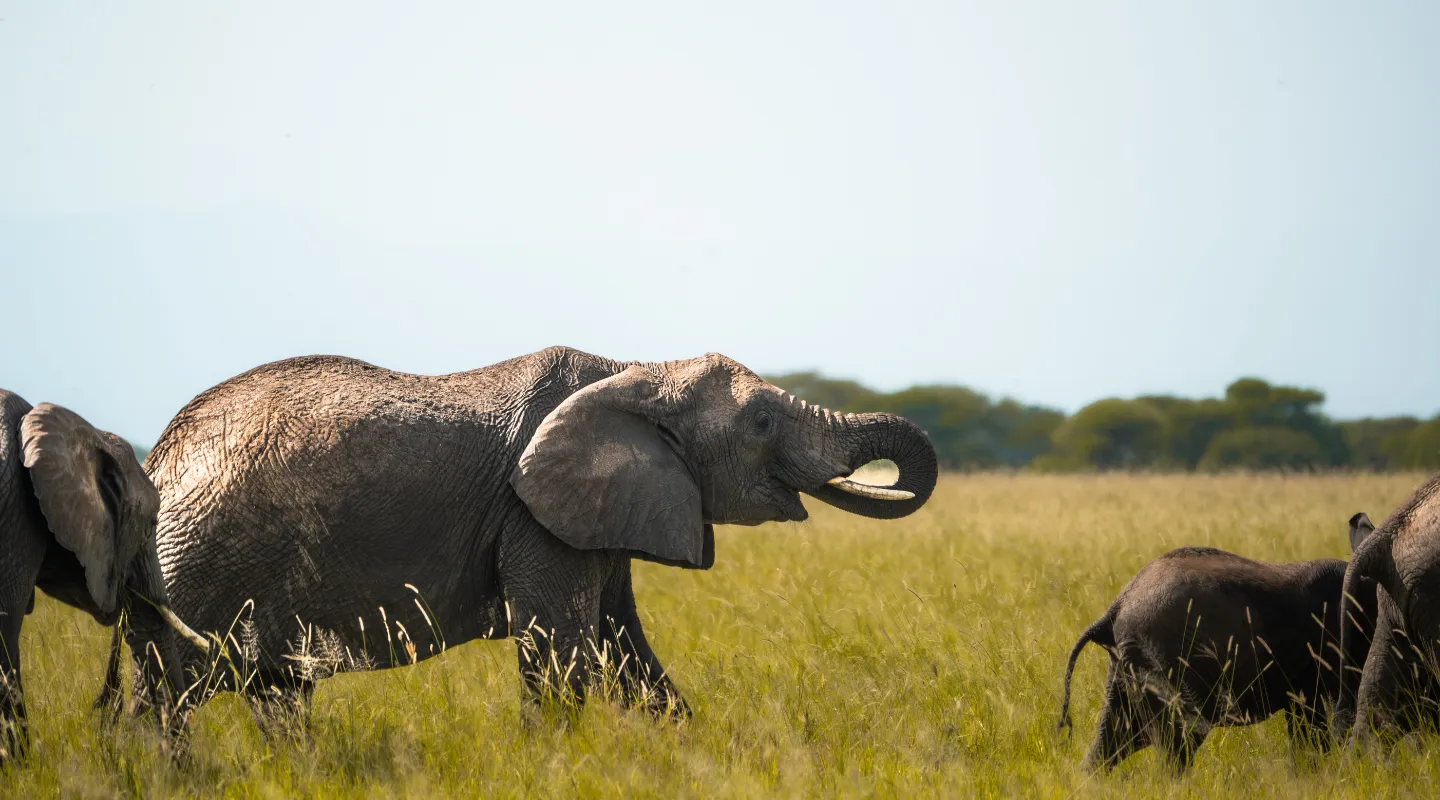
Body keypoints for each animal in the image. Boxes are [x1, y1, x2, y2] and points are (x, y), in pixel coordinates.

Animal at [99, 346, 937, 735]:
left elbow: (628, 651)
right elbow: (564, 655)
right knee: (165, 697)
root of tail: (157, 455)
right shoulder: (533, 519)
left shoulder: (595, 515)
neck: (634, 369)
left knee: (273, 695)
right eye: (761, 423)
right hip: (198, 564)